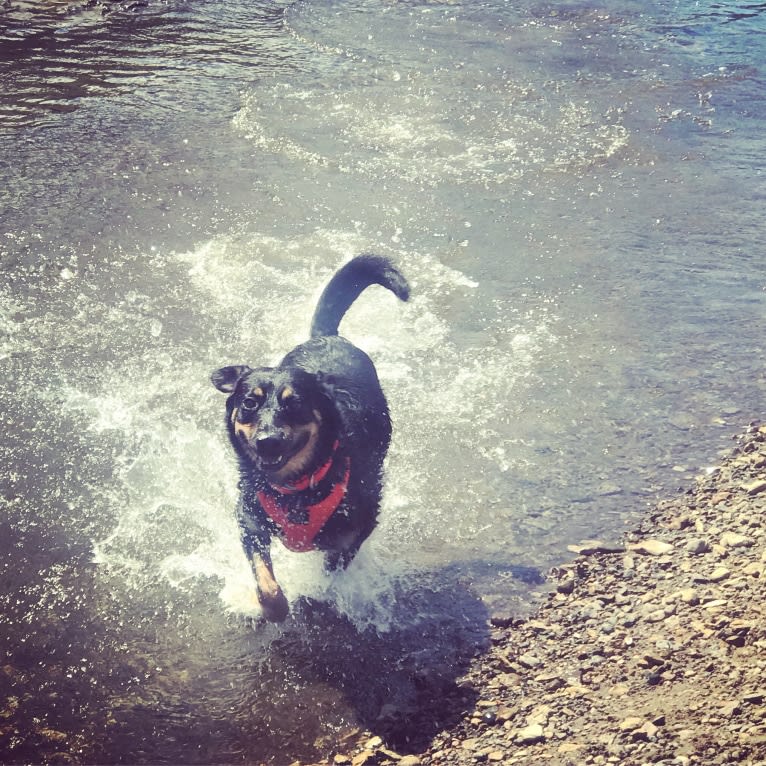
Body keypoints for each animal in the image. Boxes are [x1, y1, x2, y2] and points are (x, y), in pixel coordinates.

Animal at [213, 255, 412, 620]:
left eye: (295, 403)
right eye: (250, 402)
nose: (268, 441)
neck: (297, 487)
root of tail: (328, 338)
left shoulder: (353, 533)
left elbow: (329, 574)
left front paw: (315, 597)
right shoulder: (249, 518)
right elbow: (264, 575)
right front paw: (274, 606)